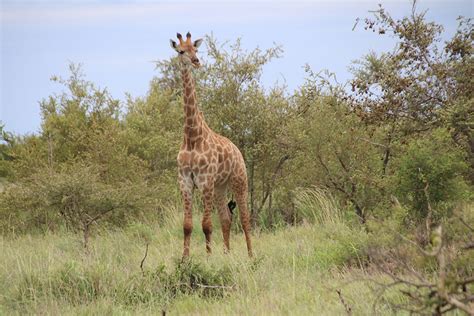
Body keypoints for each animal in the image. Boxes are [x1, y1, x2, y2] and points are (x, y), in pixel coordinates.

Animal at [169, 32, 254, 258]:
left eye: (196, 50)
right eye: (181, 51)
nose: (196, 61)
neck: (192, 136)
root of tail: (238, 150)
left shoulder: (205, 180)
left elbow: (206, 225)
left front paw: (208, 257)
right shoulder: (185, 182)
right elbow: (187, 225)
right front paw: (185, 259)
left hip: (239, 181)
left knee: (245, 219)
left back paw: (251, 256)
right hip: (220, 187)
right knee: (226, 218)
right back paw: (226, 253)